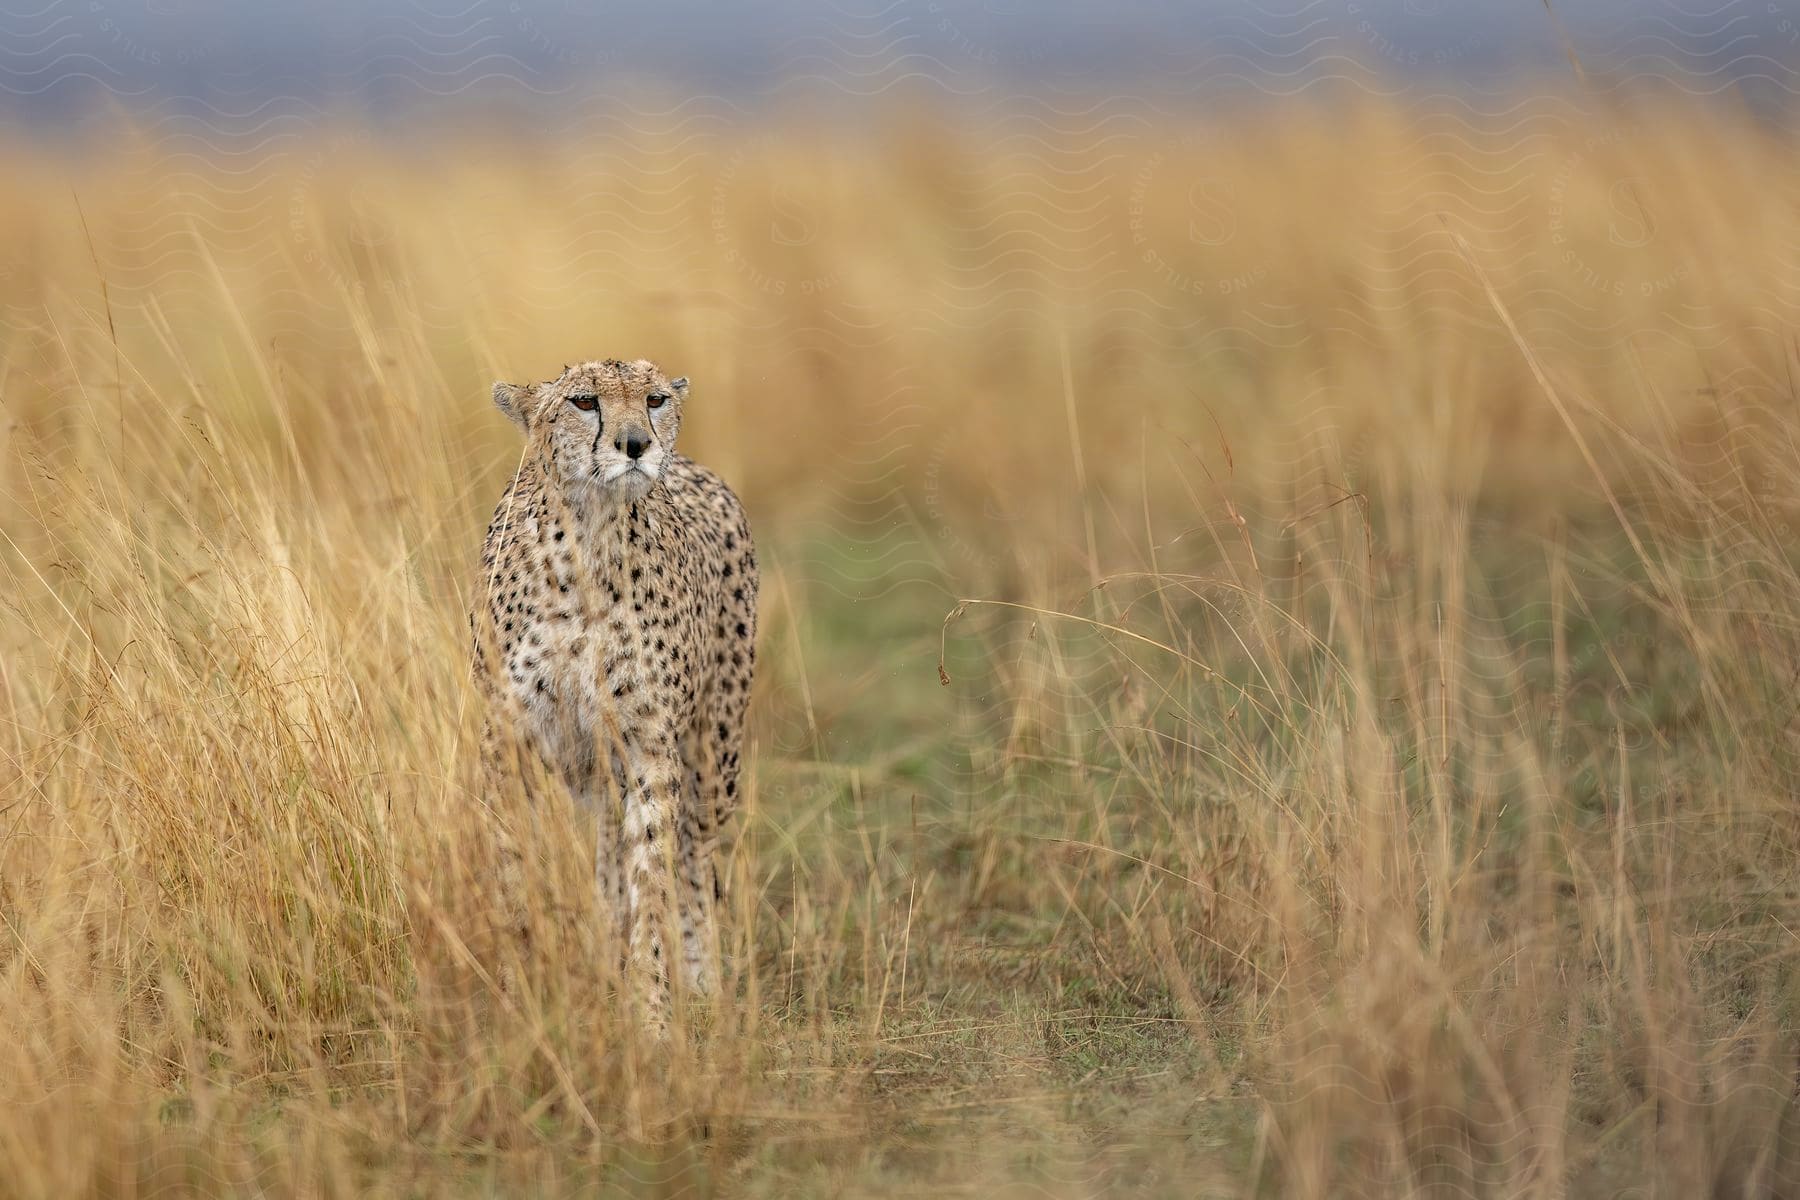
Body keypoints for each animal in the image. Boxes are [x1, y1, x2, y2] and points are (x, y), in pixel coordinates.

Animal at [468, 359, 756, 1021]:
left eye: (654, 400)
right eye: (583, 402)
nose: (635, 445)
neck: (587, 540)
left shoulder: (651, 744)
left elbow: (652, 877)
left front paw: (652, 1015)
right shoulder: (507, 737)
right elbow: (510, 864)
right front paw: (519, 993)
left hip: (715, 752)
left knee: (695, 855)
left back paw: (701, 986)